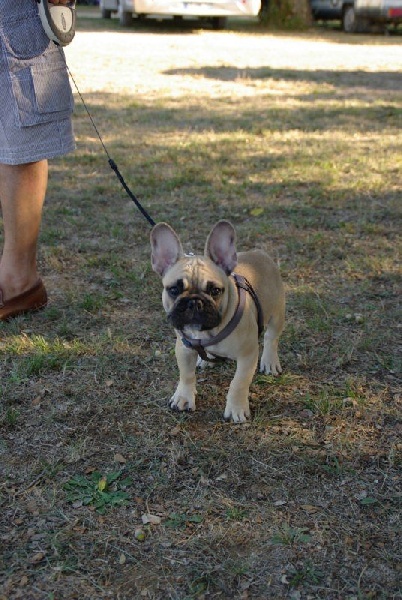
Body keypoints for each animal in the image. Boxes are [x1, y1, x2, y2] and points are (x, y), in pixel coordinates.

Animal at [150, 220, 285, 423]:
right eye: (174, 290)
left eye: (215, 291)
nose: (194, 302)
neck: (208, 331)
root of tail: (259, 253)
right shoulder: (184, 348)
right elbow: (186, 375)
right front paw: (183, 397)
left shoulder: (247, 355)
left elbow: (238, 382)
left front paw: (236, 408)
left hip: (277, 312)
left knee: (271, 338)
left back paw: (269, 361)